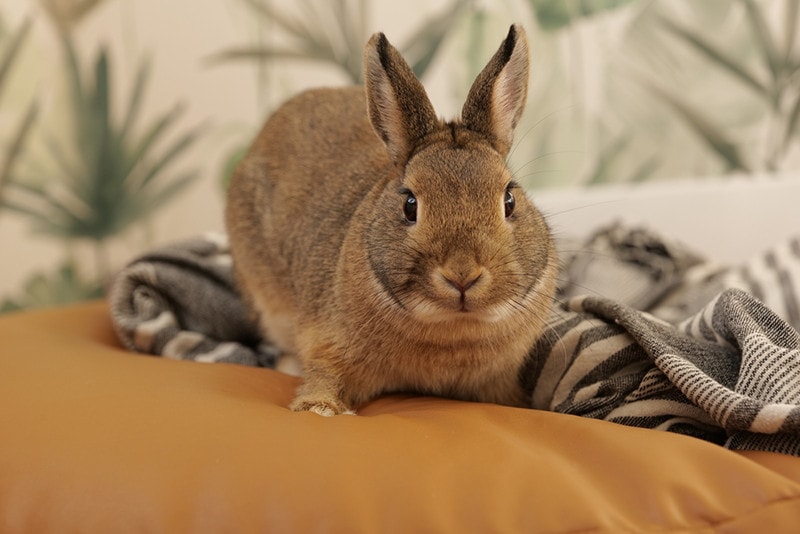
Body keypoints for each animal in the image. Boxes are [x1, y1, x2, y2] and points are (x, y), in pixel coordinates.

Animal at [227, 24, 556, 418]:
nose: (462, 274)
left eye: (509, 200)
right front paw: (320, 409)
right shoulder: (329, 343)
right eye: (410, 205)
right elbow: (323, 374)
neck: (454, 328)